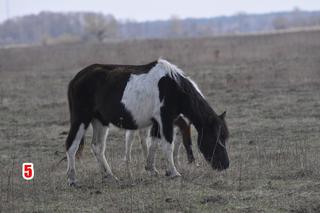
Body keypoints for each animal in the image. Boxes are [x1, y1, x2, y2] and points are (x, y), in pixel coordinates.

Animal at [65, 59, 230, 186]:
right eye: (216, 138)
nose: (225, 165)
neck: (173, 87)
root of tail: (75, 79)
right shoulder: (165, 119)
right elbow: (167, 145)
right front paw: (174, 172)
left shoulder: (157, 122)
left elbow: (154, 143)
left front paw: (152, 168)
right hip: (81, 119)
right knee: (71, 146)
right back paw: (72, 179)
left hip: (100, 121)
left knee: (98, 147)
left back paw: (110, 176)